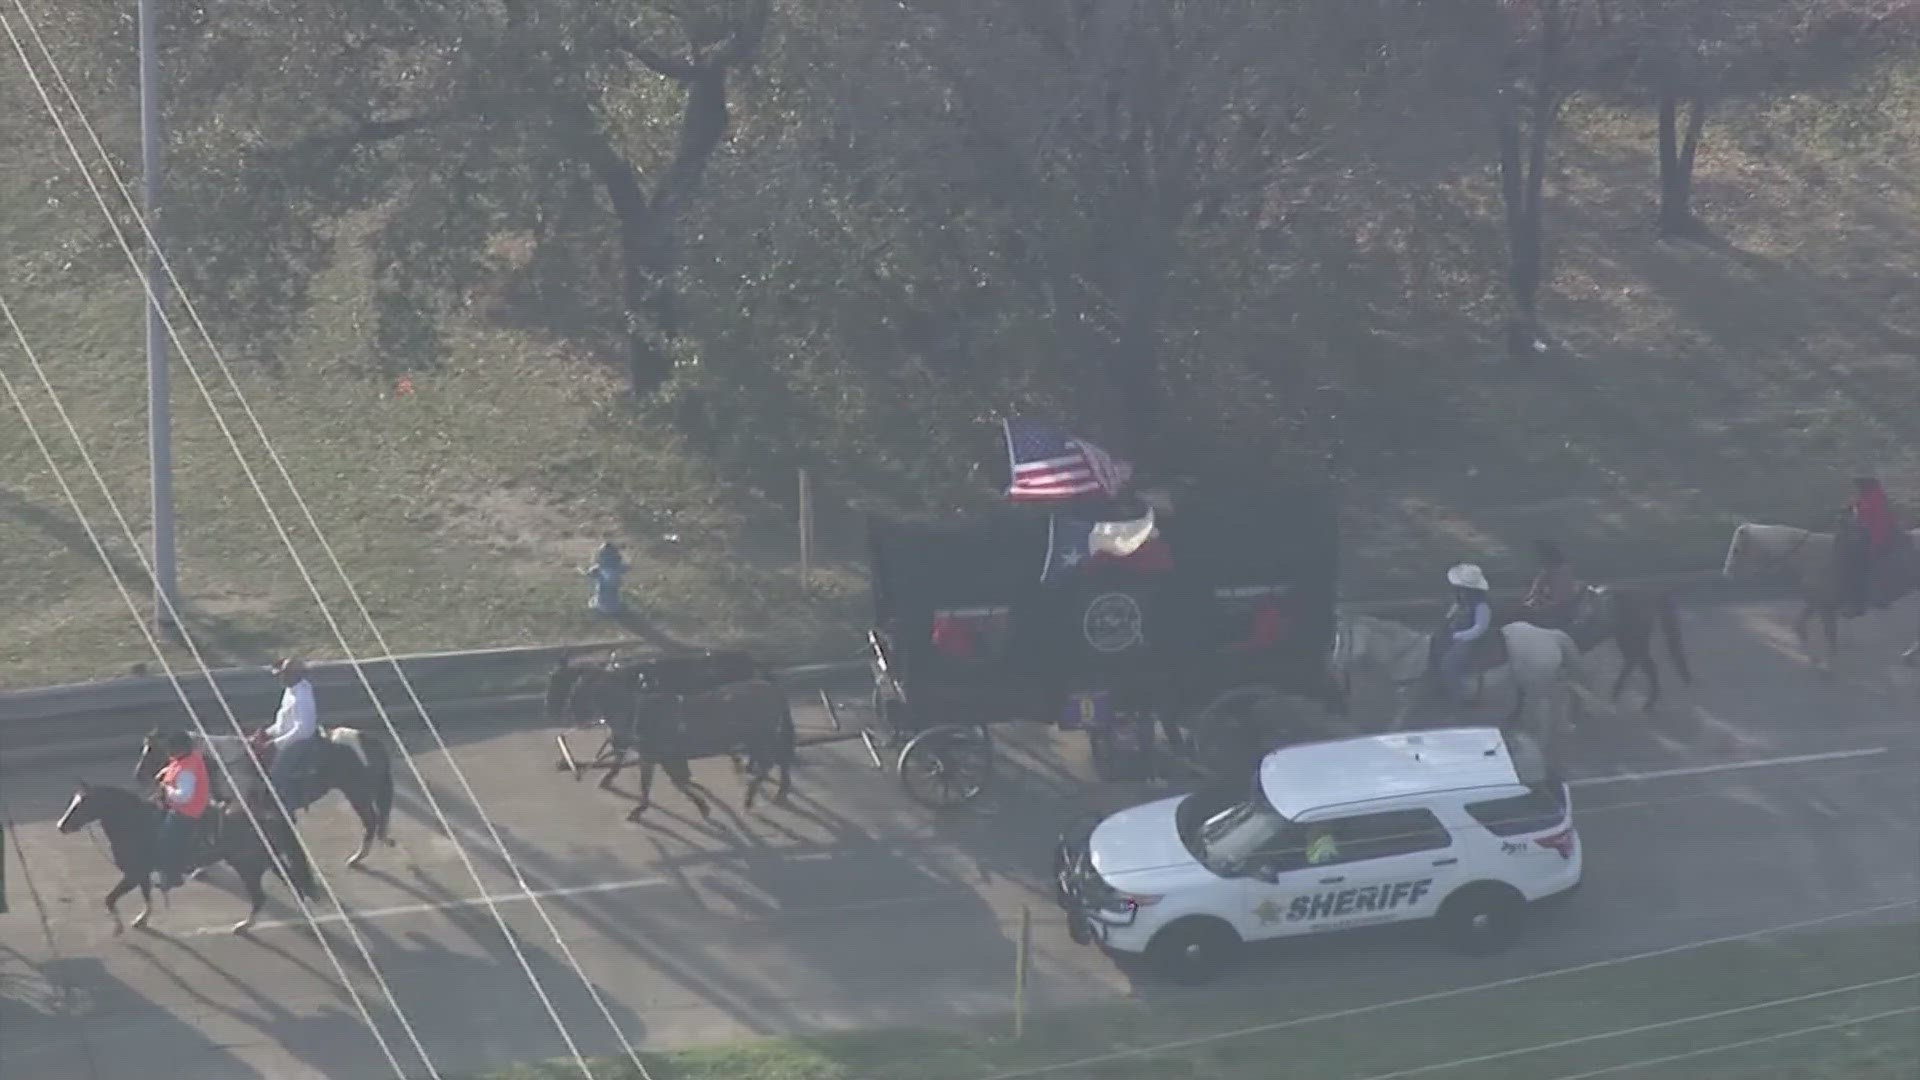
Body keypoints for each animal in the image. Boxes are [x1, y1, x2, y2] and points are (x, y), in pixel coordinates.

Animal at [54, 776, 316, 930]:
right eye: (73, 801)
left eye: (82, 804)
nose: (60, 826)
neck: (136, 823)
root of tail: (267, 814)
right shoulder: (141, 874)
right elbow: (146, 897)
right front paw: (141, 919)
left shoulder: (133, 874)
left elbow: (110, 898)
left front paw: (118, 927)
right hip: (269, 862)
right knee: (293, 884)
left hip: (248, 867)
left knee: (261, 896)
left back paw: (244, 925)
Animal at [134, 722, 393, 864]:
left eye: (152, 749)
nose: (138, 775)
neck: (225, 761)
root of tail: (368, 740)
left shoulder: (238, 805)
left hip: (357, 793)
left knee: (371, 822)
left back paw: (357, 857)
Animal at [549, 661, 794, 818]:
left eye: (576, 691)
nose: (565, 713)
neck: (637, 711)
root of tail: (773, 688)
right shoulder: (650, 756)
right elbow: (650, 782)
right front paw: (641, 807)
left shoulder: (663, 756)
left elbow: (677, 781)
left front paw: (702, 805)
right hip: (759, 738)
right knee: (779, 758)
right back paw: (776, 789)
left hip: (759, 737)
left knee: (773, 759)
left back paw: (752, 795)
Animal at [1728, 522, 1920, 672]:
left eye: (1736, 550)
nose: (1727, 574)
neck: (1811, 557)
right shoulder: (1816, 602)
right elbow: (1800, 627)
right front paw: (1814, 660)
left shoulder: (1826, 607)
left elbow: (1830, 634)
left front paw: (1827, 666)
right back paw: (1909, 656)